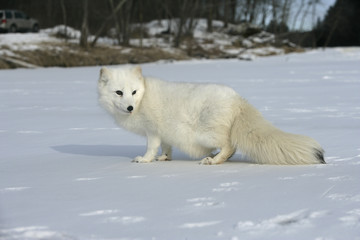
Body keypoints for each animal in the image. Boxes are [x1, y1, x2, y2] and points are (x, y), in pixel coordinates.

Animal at [97, 66, 324, 165]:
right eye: (119, 92)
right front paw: (164, 158)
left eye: (134, 92)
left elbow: (151, 148)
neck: (144, 97)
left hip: (204, 135)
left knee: (230, 145)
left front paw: (144, 160)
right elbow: (166, 147)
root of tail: (237, 99)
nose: (130, 108)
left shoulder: (152, 131)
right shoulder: (164, 133)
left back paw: (213, 161)